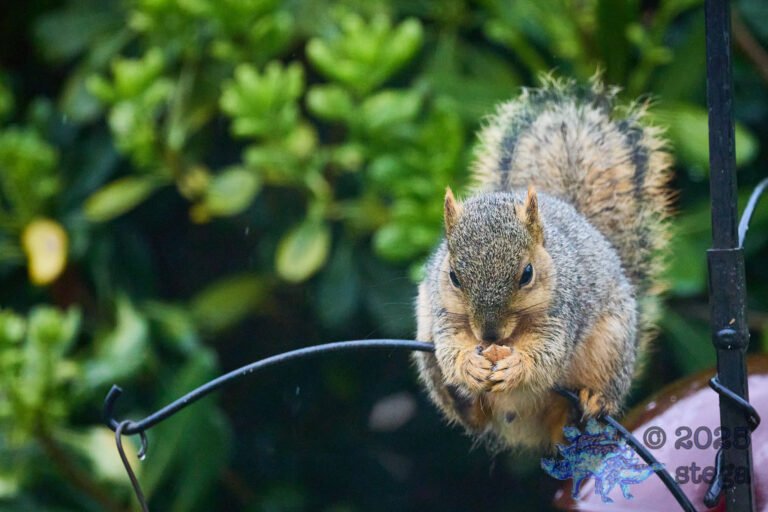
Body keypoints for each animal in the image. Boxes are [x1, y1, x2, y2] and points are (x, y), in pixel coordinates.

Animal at [413, 76, 672, 450]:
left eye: (527, 274)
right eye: (453, 277)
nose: (489, 335)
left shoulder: (562, 313)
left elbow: (546, 354)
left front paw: (516, 365)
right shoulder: (443, 311)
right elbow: (450, 346)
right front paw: (469, 364)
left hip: (612, 345)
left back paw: (590, 404)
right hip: (426, 351)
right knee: (471, 414)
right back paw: (459, 396)